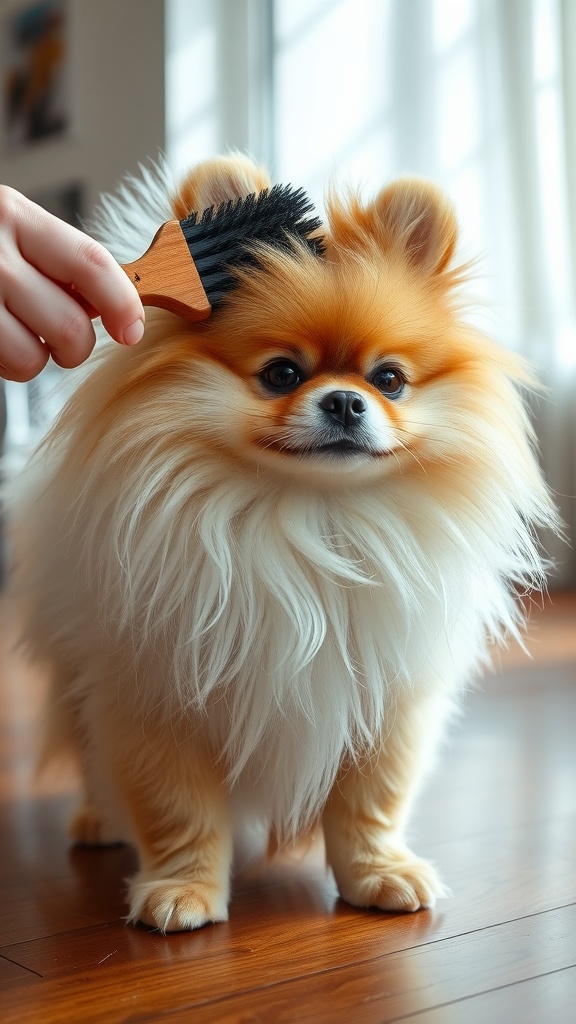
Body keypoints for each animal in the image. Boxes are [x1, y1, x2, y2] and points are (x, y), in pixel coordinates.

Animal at [10, 155, 557, 933]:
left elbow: (371, 803)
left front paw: (379, 874)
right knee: (89, 751)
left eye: (389, 379)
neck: (307, 523)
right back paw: (98, 819)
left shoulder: (385, 700)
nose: (346, 400)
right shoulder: (152, 694)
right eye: (282, 374)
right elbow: (176, 805)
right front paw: (183, 889)